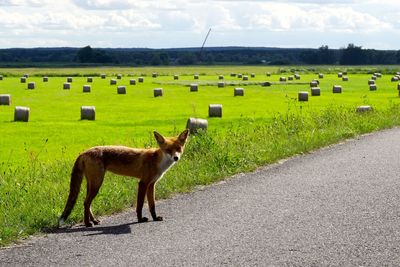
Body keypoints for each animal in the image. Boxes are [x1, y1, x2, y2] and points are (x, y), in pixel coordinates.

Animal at [58, 130, 190, 228]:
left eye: (178, 148)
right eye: (168, 150)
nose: (176, 158)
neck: (157, 161)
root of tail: (83, 152)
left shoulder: (151, 184)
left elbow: (152, 205)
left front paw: (155, 218)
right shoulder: (143, 183)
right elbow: (140, 205)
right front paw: (140, 219)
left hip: (92, 183)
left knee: (86, 202)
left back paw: (94, 220)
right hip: (97, 183)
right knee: (86, 202)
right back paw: (87, 223)